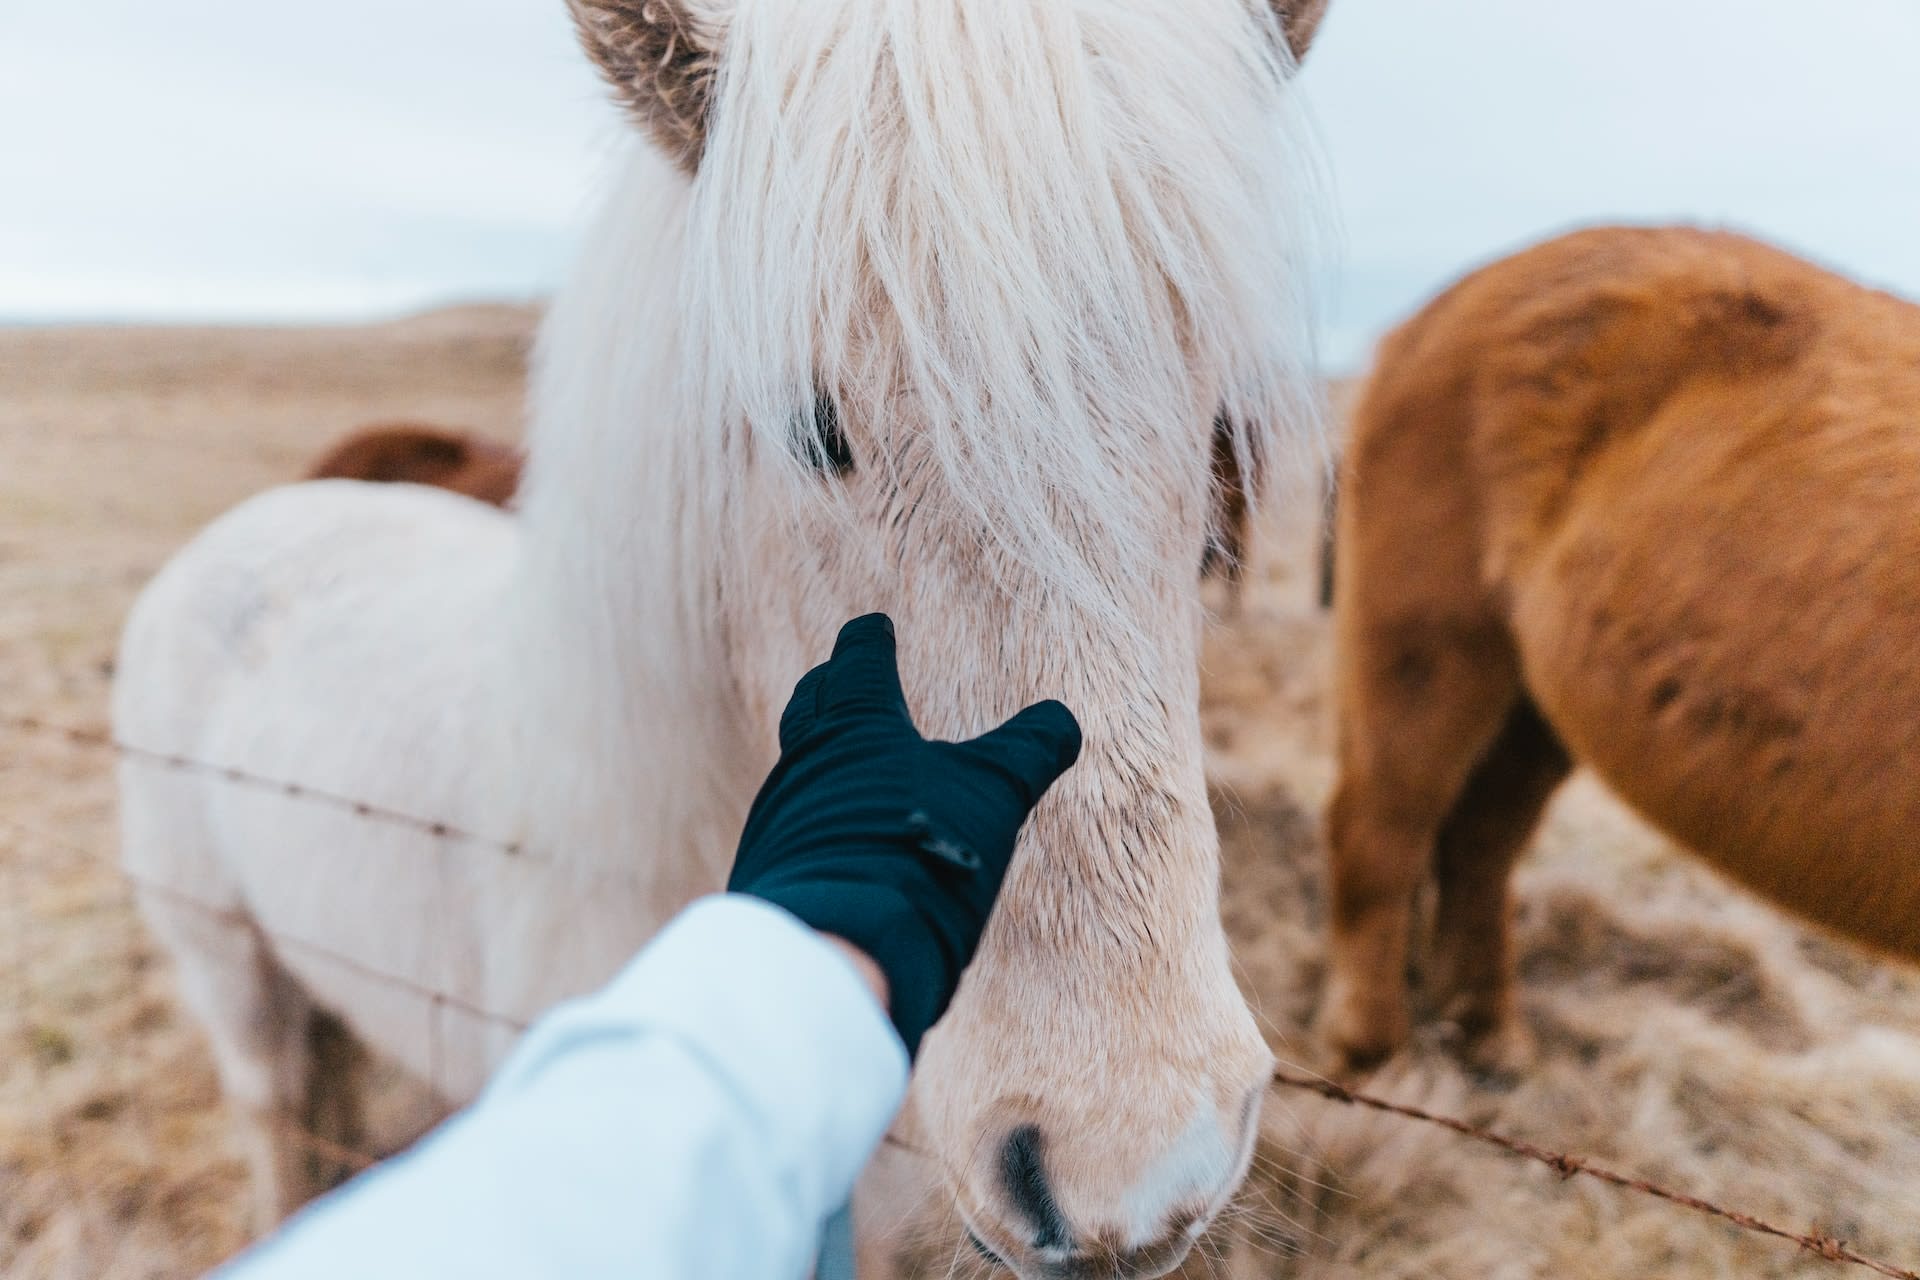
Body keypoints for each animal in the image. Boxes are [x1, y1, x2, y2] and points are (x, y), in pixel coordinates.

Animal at [1320, 227, 1920, 1074]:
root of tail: (1448, 299)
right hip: (1430, 646)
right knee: (1383, 825)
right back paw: (1373, 1050)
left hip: (1537, 699)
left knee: (1481, 840)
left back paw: (1485, 1034)